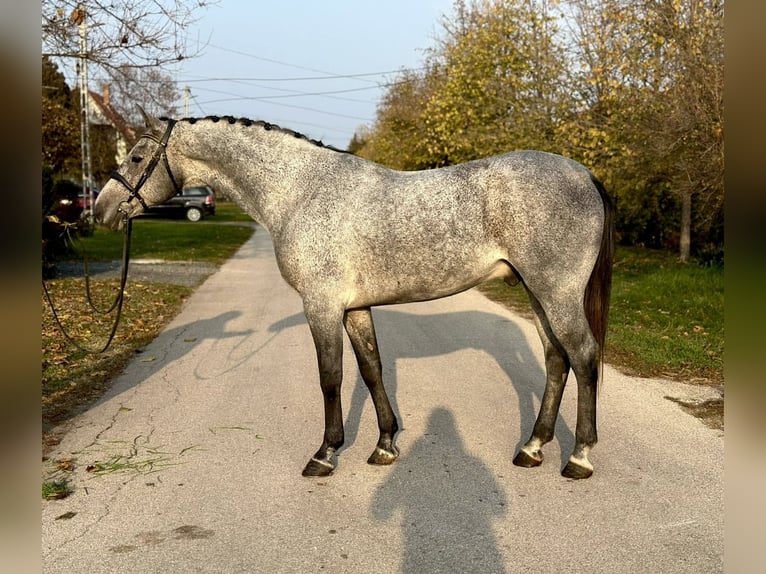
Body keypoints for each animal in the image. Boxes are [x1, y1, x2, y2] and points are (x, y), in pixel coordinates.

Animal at [96, 113, 616, 482]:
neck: (299, 191)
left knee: (584, 356)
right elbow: (371, 369)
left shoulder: (322, 306)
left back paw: (579, 457)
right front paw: (385, 445)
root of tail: (585, 175)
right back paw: (532, 448)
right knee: (556, 359)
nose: (101, 210)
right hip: (537, 292)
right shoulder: (355, 308)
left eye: (137, 158)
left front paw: (325, 454)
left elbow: (331, 377)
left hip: (555, 292)